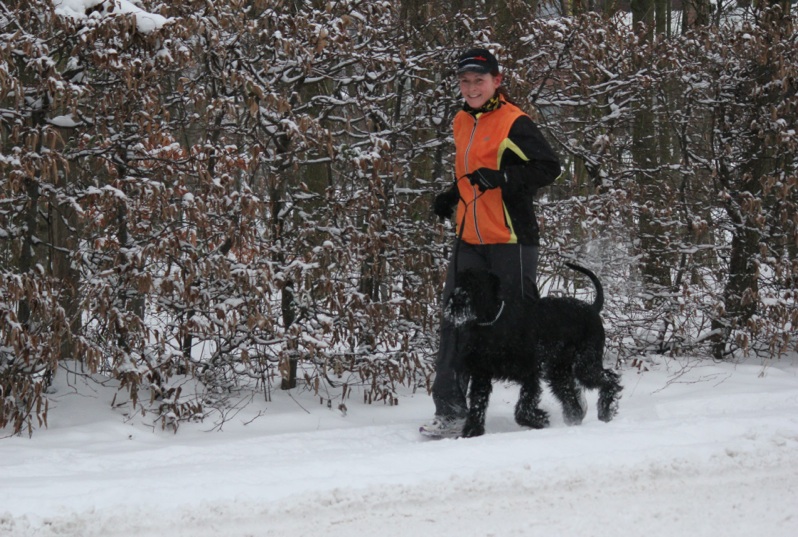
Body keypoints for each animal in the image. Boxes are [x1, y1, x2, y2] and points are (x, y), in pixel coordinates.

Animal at [446, 262, 620, 438]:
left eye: (475, 284)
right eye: (459, 281)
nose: (457, 297)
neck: (491, 323)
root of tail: (592, 308)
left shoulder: (530, 372)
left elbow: (523, 407)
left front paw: (540, 420)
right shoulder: (481, 374)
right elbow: (477, 405)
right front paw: (471, 432)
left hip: (585, 365)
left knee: (610, 379)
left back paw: (606, 411)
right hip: (558, 372)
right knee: (570, 397)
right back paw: (574, 419)